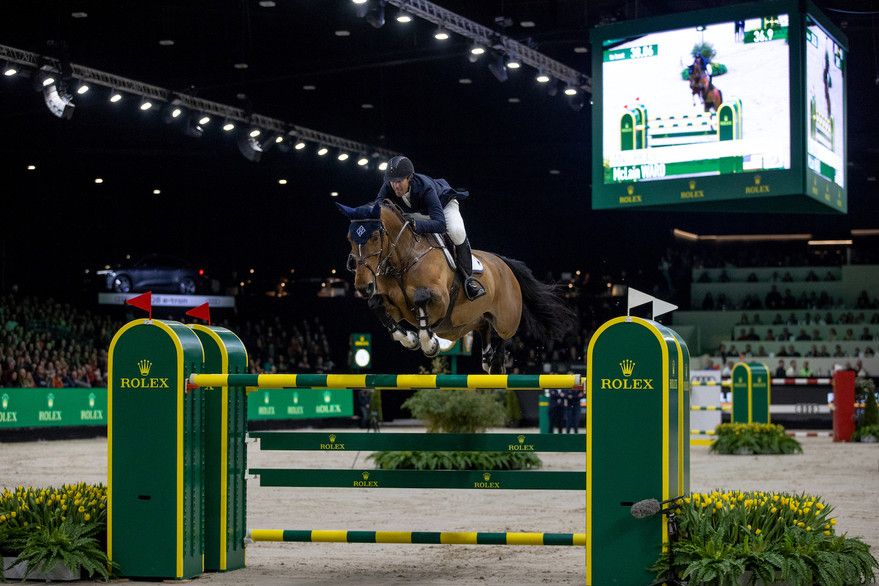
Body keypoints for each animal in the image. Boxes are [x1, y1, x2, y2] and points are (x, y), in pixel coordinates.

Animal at [338, 200, 576, 374]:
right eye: (349, 238)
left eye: (374, 236)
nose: (363, 286)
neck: (404, 259)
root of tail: (504, 263)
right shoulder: (396, 308)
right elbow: (377, 305)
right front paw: (409, 339)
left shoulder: (440, 300)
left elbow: (421, 298)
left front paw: (429, 343)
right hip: (473, 318)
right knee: (485, 326)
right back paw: (488, 357)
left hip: (507, 318)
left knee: (503, 335)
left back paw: (496, 361)